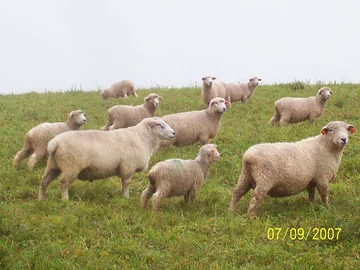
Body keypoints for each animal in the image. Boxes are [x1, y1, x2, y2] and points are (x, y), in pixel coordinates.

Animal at [38, 117, 176, 201]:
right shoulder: (127, 167)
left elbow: (123, 183)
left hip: (53, 165)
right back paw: (65, 200)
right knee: (63, 183)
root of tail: (54, 142)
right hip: (70, 166)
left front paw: (123, 196)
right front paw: (126, 197)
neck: (142, 138)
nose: (174, 133)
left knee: (44, 181)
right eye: (159, 125)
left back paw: (42, 199)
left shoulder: (124, 167)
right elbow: (126, 183)